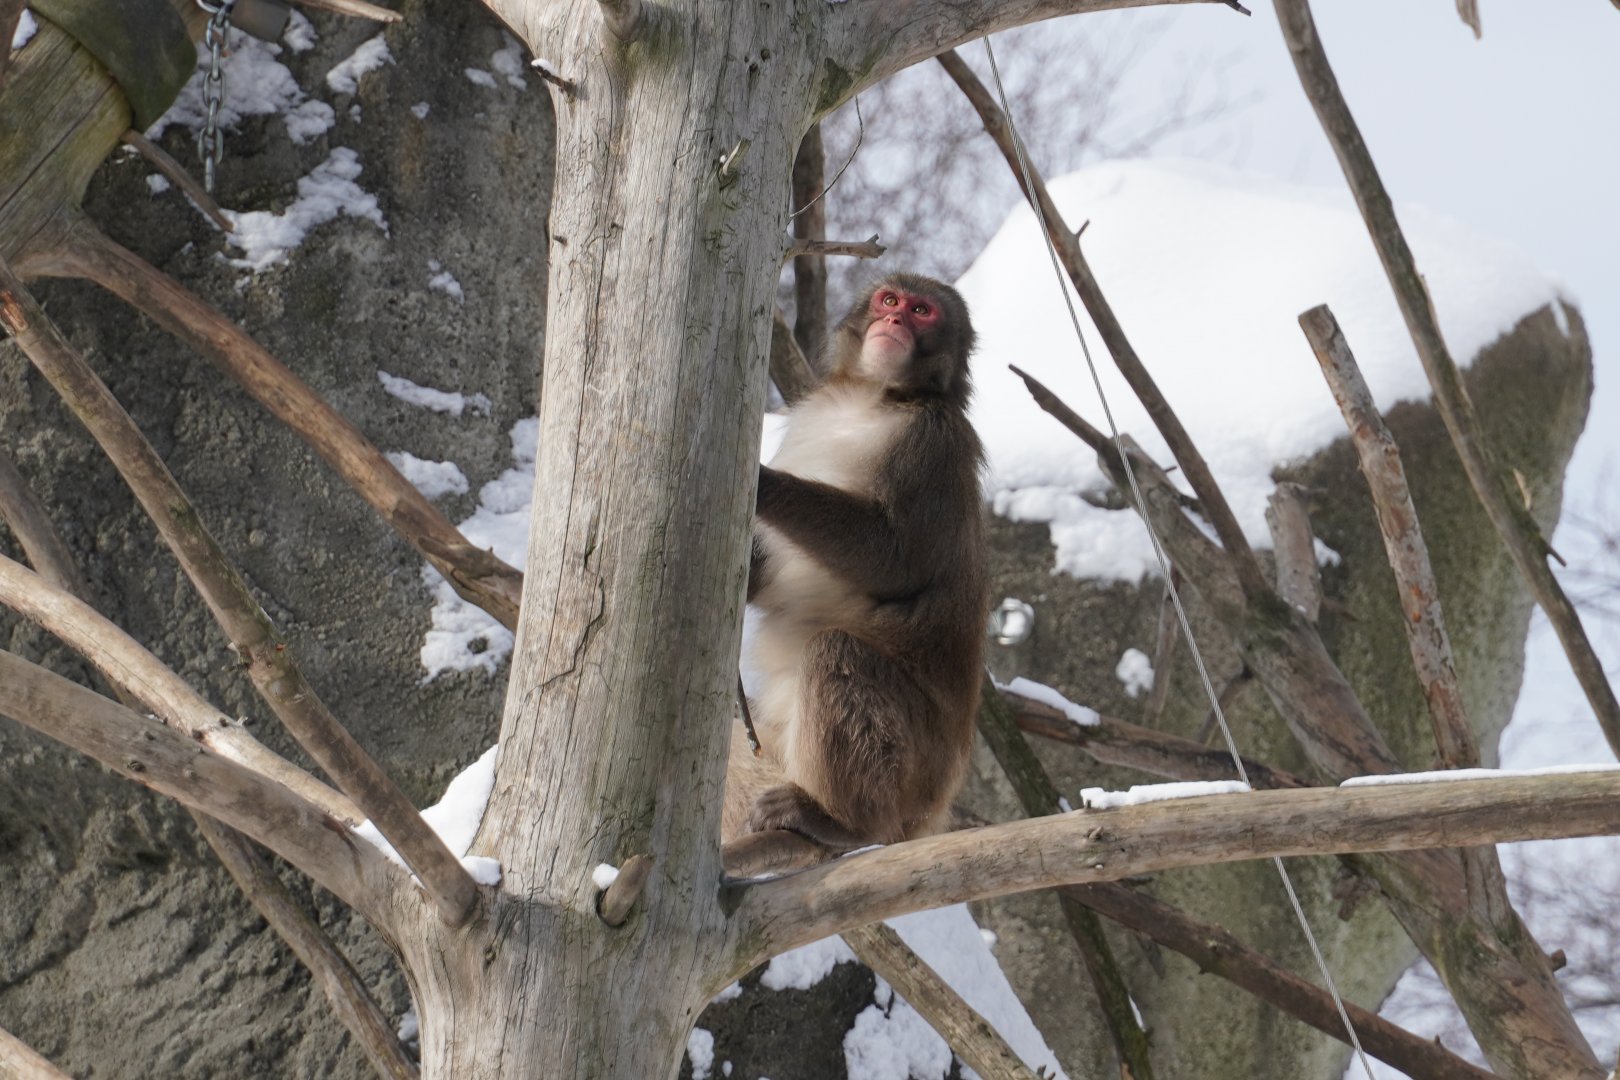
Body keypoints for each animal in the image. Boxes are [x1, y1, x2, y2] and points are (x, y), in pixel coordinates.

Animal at [724, 273, 989, 857]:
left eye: (922, 311)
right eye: (890, 300)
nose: (894, 321)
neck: (874, 398)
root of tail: (933, 811)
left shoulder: (934, 446)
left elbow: (896, 560)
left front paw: (765, 484)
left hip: (915, 773)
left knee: (836, 651)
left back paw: (840, 821)